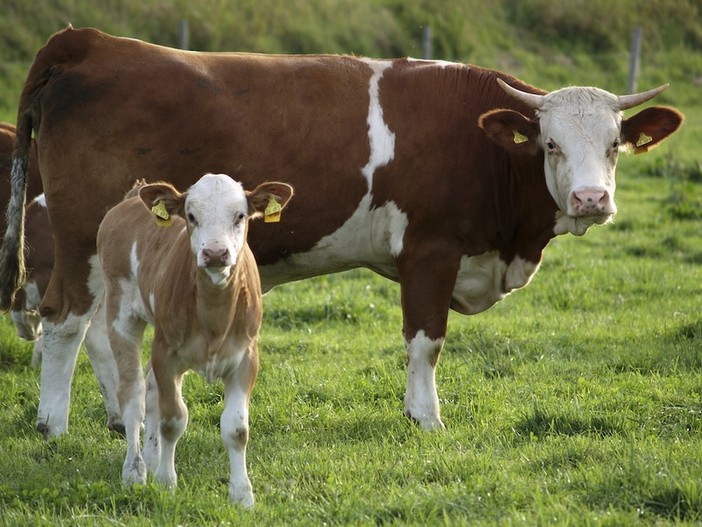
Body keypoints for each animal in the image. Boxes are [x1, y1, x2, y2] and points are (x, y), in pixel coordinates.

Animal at [0, 25, 684, 438]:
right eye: (550, 143)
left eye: (615, 144)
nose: (592, 199)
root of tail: (87, 40)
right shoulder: (430, 251)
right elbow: (425, 343)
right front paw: (426, 420)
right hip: (79, 235)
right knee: (64, 322)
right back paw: (53, 424)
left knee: (99, 329)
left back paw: (122, 418)